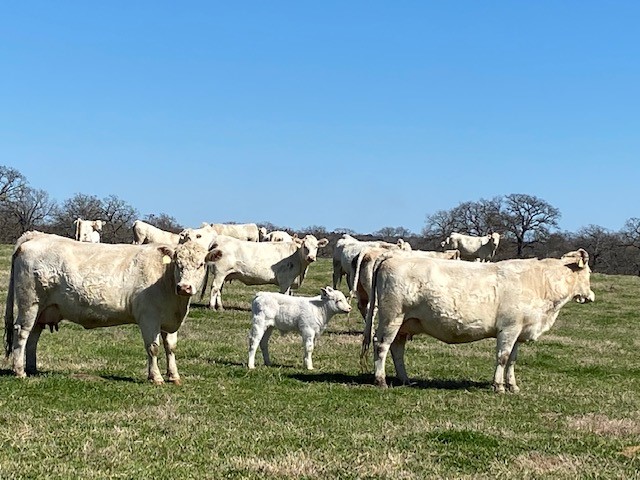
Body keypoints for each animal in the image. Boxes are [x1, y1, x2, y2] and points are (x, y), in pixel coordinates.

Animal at [4, 231, 212, 384]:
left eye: (201, 264)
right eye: (178, 264)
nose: (184, 287)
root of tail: (36, 235)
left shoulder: (170, 321)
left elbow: (171, 347)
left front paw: (174, 376)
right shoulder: (149, 317)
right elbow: (153, 348)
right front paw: (156, 378)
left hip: (43, 309)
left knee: (33, 336)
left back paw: (32, 369)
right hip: (30, 303)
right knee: (22, 332)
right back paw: (20, 371)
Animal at [362, 249, 596, 392]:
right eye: (589, 272)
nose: (591, 296)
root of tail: (392, 256)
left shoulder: (519, 332)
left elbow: (512, 360)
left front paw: (513, 386)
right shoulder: (509, 329)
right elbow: (502, 357)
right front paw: (499, 386)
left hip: (405, 323)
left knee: (397, 349)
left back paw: (405, 379)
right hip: (392, 317)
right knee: (381, 345)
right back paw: (381, 381)